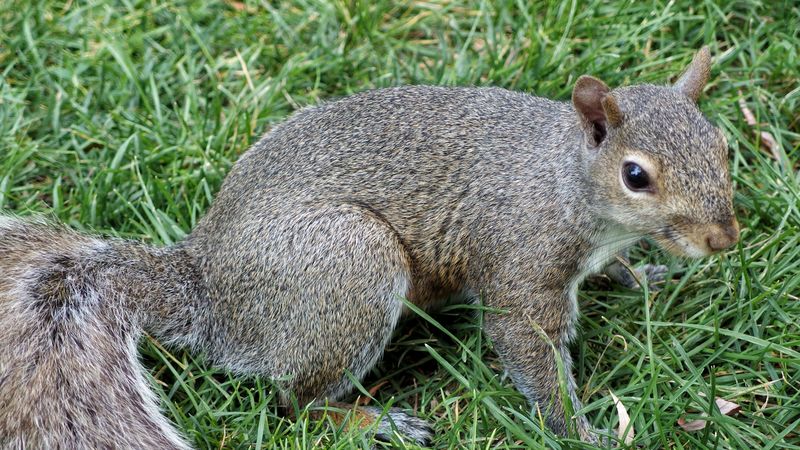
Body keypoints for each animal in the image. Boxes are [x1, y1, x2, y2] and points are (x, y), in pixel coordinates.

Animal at [0, 47, 738, 448]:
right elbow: (529, 351)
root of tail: (209, 291)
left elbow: (614, 269)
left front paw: (643, 277)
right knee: (297, 404)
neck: (562, 178)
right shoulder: (523, 264)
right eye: (636, 176)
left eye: (722, 143)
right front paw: (582, 432)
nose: (724, 238)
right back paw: (374, 423)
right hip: (351, 266)